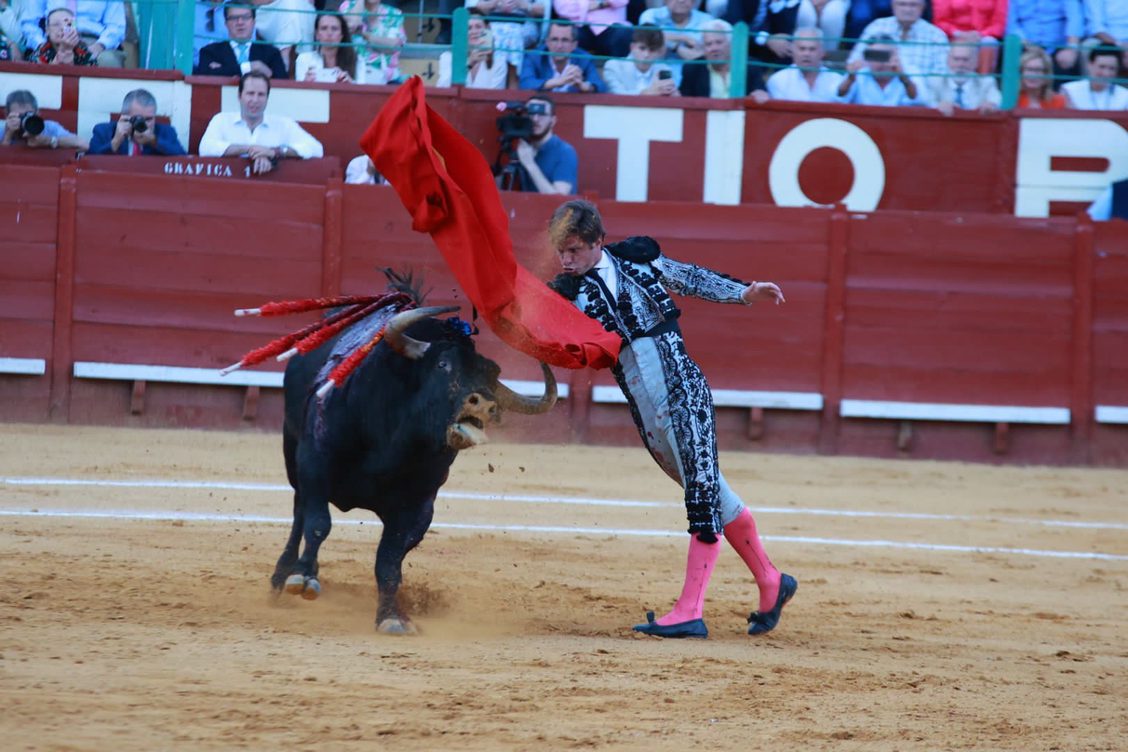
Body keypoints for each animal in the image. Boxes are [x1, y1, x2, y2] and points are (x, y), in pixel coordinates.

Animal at [270, 290, 557, 631]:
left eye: (492, 377)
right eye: (443, 365)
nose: (485, 403)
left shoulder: (419, 505)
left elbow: (390, 557)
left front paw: (391, 616)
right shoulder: (315, 464)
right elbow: (317, 524)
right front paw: (302, 577)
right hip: (293, 454)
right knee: (300, 514)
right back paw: (283, 577)